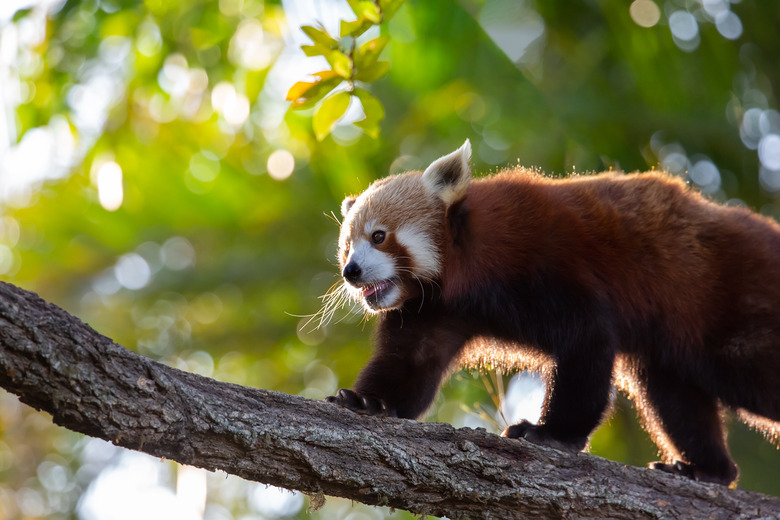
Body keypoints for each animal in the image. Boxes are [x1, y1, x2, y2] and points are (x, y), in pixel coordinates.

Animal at [326, 140, 780, 486]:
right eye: (346, 248)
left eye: (379, 237)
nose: (351, 272)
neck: (462, 264)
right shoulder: (434, 310)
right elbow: (412, 364)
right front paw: (368, 401)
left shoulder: (540, 263)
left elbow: (588, 340)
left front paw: (552, 434)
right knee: (676, 399)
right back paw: (709, 470)